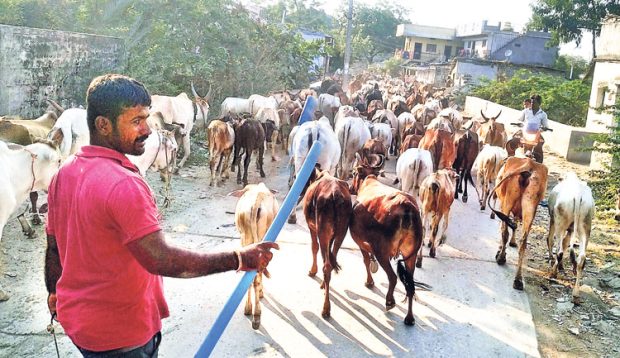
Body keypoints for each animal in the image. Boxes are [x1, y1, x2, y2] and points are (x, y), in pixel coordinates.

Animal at [302, 168, 352, 318]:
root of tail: (335, 193)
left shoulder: (312, 227)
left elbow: (314, 247)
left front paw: (313, 271)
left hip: (322, 231)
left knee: (327, 266)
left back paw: (326, 308)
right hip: (342, 232)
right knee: (331, 259)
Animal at [348, 152, 426, 326]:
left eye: (355, 173)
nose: (350, 188)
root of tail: (407, 207)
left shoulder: (359, 241)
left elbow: (366, 260)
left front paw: (369, 281)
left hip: (382, 252)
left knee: (393, 277)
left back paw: (390, 301)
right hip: (410, 255)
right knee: (410, 285)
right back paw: (409, 318)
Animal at [490, 157, 548, 290]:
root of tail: (529, 166)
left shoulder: (503, 205)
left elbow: (505, 227)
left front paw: (500, 250)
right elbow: (515, 225)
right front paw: (513, 242)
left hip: (507, 203)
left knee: (504, 231)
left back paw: (501, 258)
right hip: (530, 208)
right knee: (523, 242)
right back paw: (518, 280)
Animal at [548, 172, 596, 304]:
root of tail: (578, 194)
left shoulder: (553, 221)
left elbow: (551, 240)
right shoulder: (570, 230)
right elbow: (566, 243)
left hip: (560, 222)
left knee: (559, 251)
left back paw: (553, 273)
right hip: (585, 226)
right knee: (581, 258)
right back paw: (575, 294)